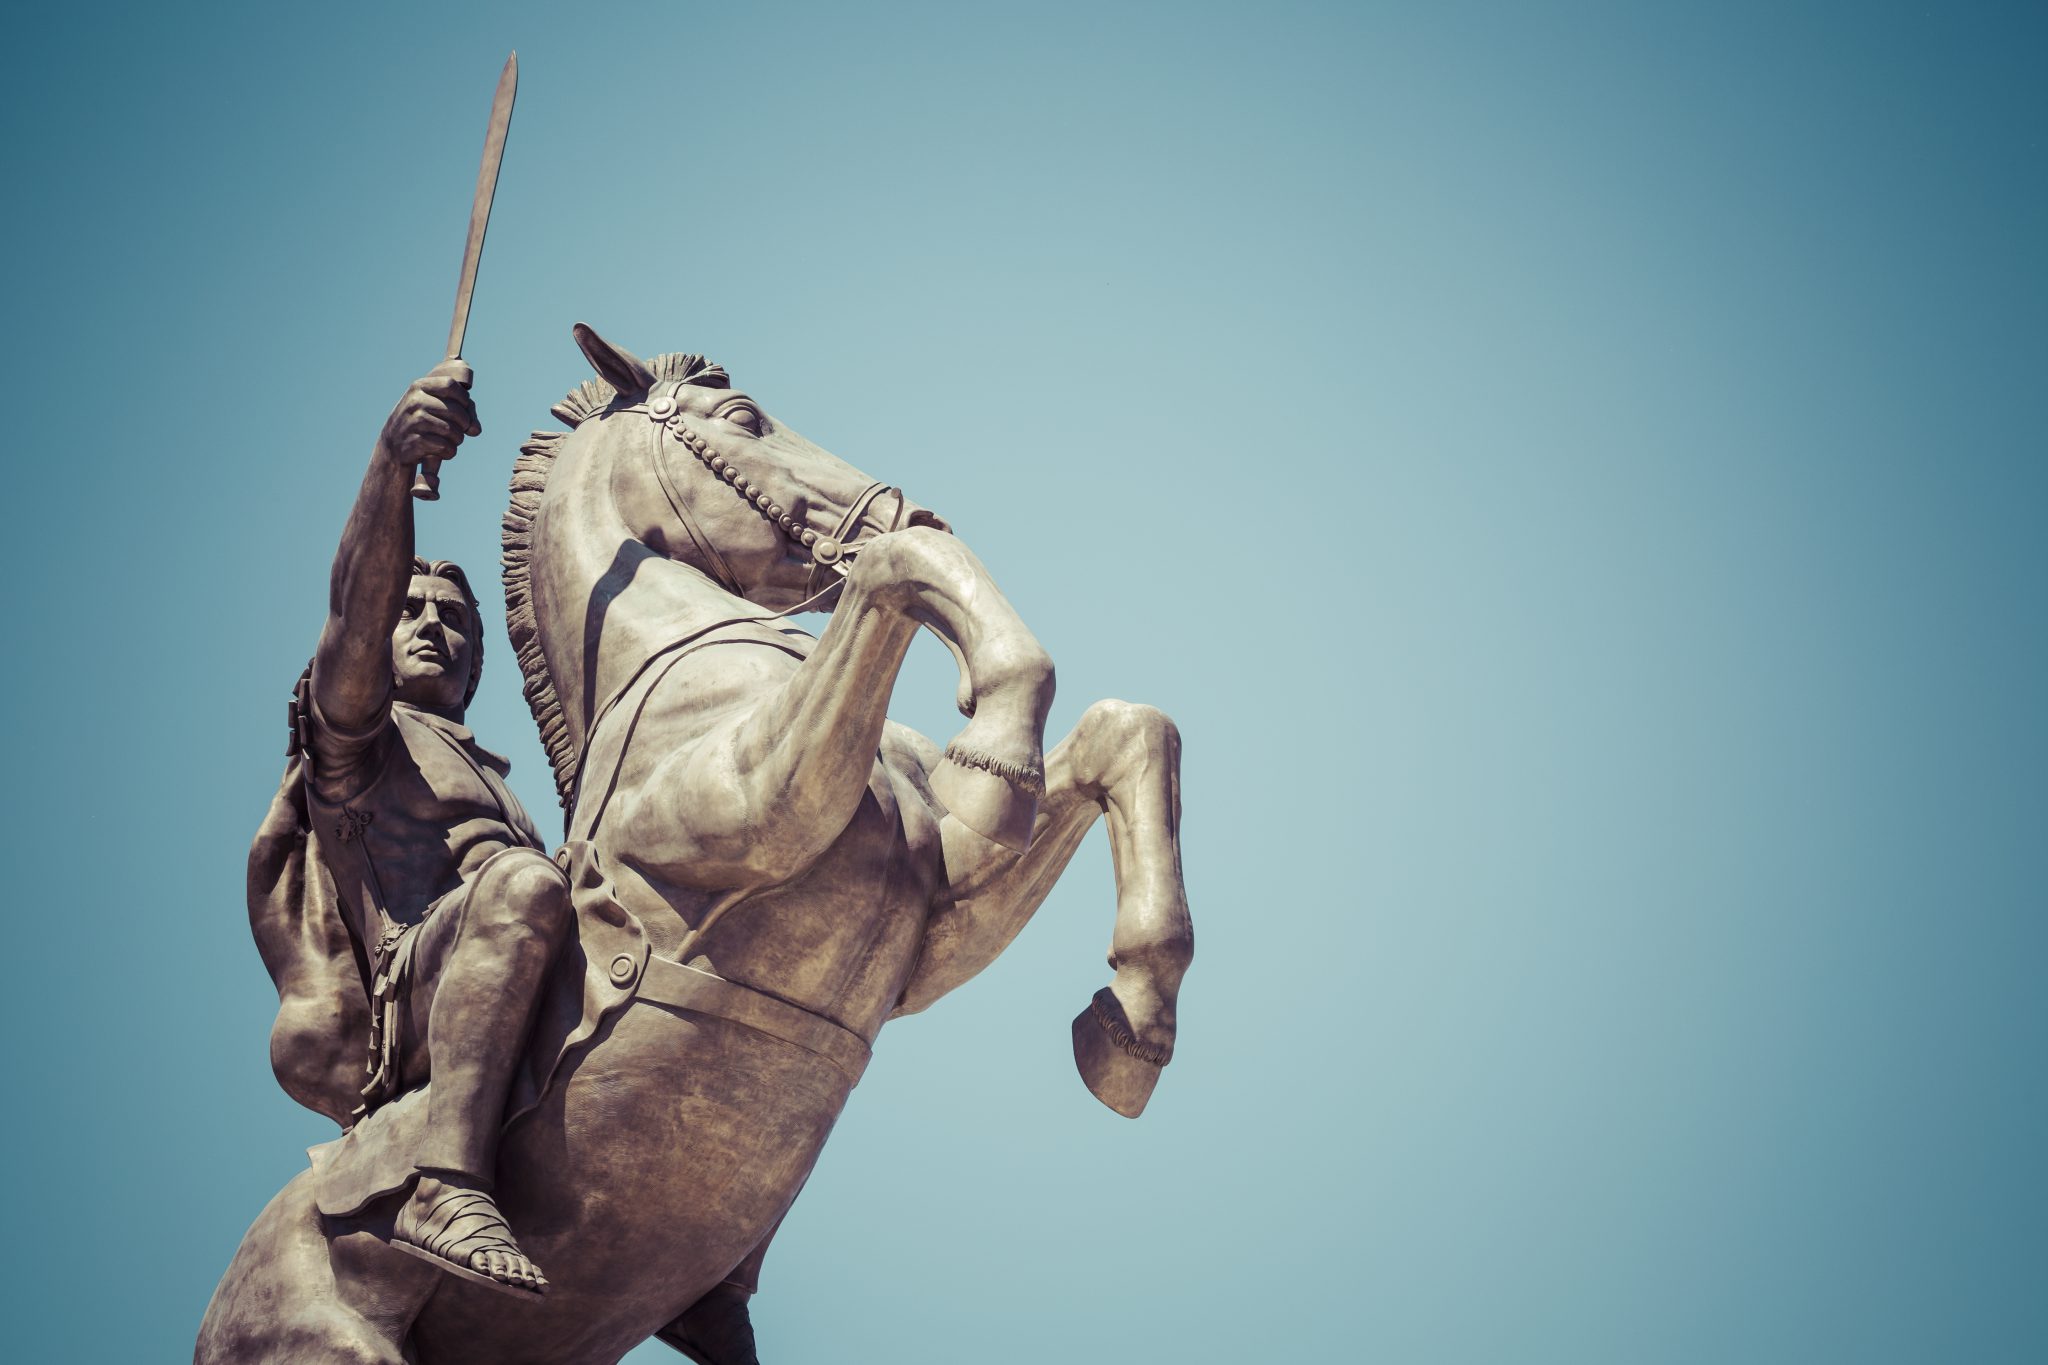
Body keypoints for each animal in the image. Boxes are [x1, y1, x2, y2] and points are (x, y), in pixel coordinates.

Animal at [195, 323, 1187, 1365]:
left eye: (446, 617)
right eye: (744, 418)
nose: (910, 506)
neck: (683, 666)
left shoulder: (936, 918)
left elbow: (1131, 727)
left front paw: (1131, 1024)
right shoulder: (753, 807)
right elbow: (902, 570)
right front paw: (998, 720)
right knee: (516, 897)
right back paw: (464, 1226)